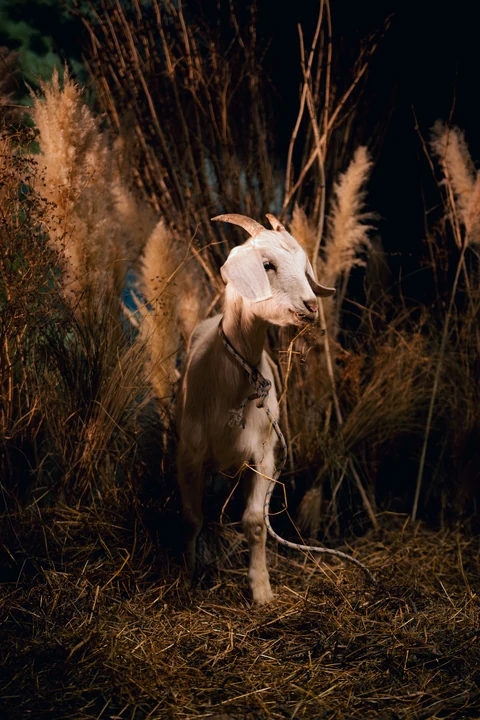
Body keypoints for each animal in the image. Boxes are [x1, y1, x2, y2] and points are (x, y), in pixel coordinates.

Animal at [176, 213, 335, 604]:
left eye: (304, 267)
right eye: (266, 265)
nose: (311, 306)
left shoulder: (264, 458)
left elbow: (255, 521)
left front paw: (261, 587)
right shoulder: (188, 455)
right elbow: (191, 517)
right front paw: (188, 573)